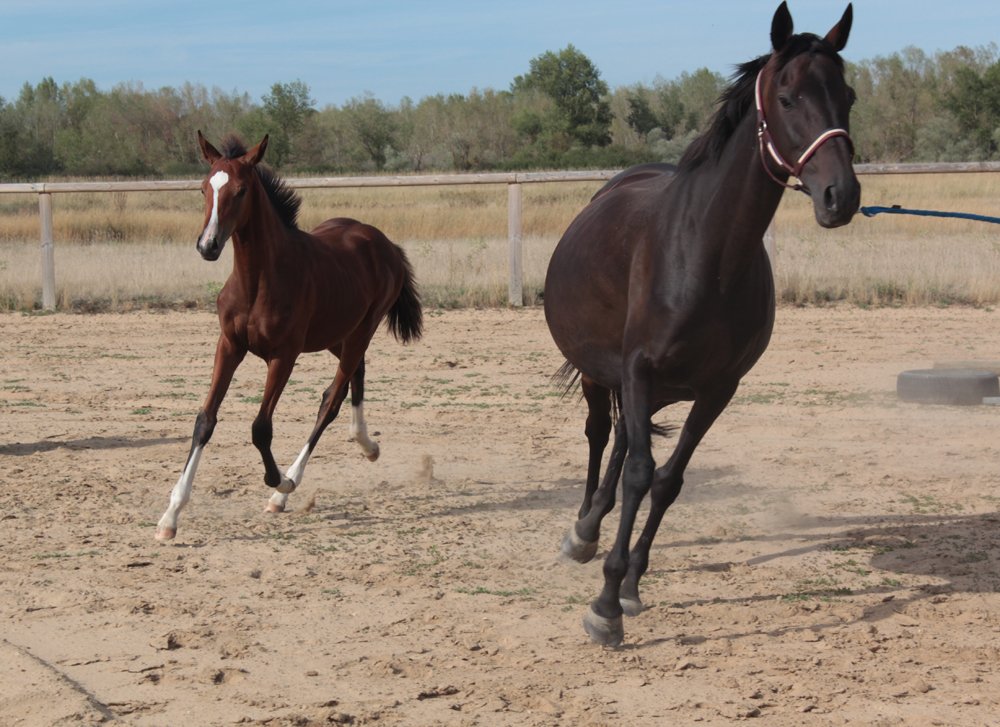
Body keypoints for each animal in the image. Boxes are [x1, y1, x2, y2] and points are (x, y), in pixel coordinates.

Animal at [155, 132, 423, 541]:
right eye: (204, 188)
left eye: (241, 190)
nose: (208, 245)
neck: (258, 281)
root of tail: (385, 243)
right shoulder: (229, 346)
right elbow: (205, 420)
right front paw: (170, 516)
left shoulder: (284, 355)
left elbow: (260, 428)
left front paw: (280, 482)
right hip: (336, 334)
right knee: (356, 374)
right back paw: (367, 445)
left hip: (361, 330)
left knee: (332, 399)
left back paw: (288, 488)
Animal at [544, 2, 859, 646]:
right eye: (787, 97)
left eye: (849, 95)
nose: (840, 196)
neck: (705, 254)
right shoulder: (639, 371)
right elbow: (640, 473)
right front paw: (605, 604)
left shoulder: (717, 391)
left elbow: (667, 480)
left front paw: (631, 583)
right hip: (601, 374)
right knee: (601, 437)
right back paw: (583, 532)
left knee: (623, 440)